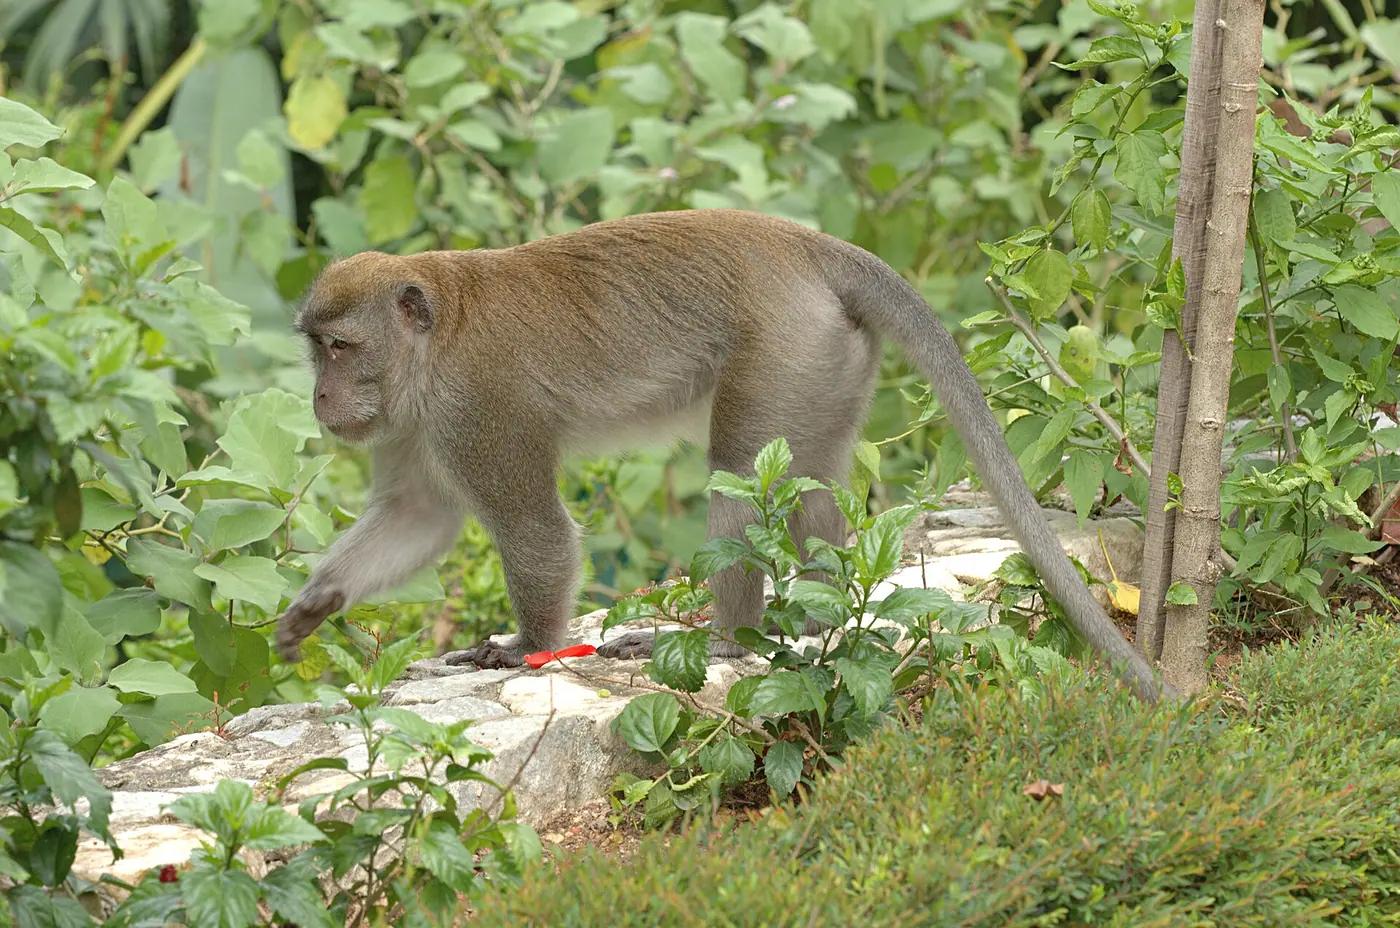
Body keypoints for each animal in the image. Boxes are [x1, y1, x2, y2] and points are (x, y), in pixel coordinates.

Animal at [276, 209, 1164, 701]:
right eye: (316, 350)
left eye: (341, 348)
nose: (320, 398)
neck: (431, 347)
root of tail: (805, 247)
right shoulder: (410, 423)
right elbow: (417, 515)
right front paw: (316, 603)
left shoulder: (475, 410)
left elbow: (536, 533)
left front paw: (525, 646)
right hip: (828, 359)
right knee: (806, 484)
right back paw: (821, 614)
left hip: (783, 347)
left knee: (740, 475)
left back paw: (731, 637)